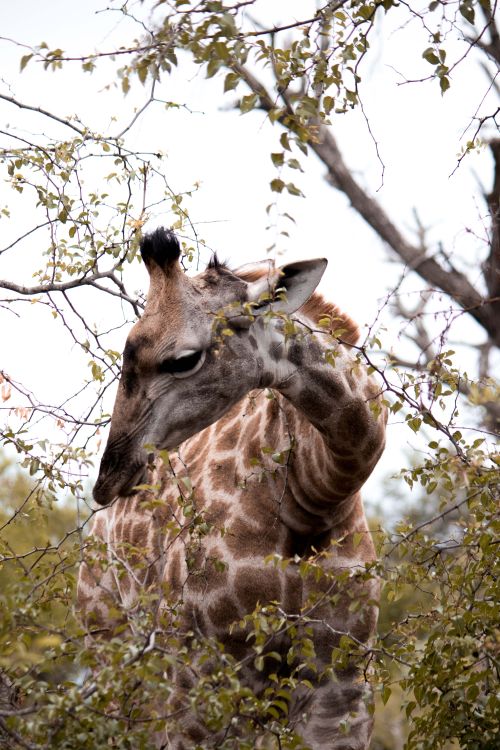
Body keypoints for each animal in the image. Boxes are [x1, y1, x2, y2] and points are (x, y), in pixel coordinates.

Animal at [78, 228, 387, 749]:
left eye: (183, 359)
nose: (110, 478)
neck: (319, 493)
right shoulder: (208, 676)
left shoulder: (340, 688)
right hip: (112, 647)